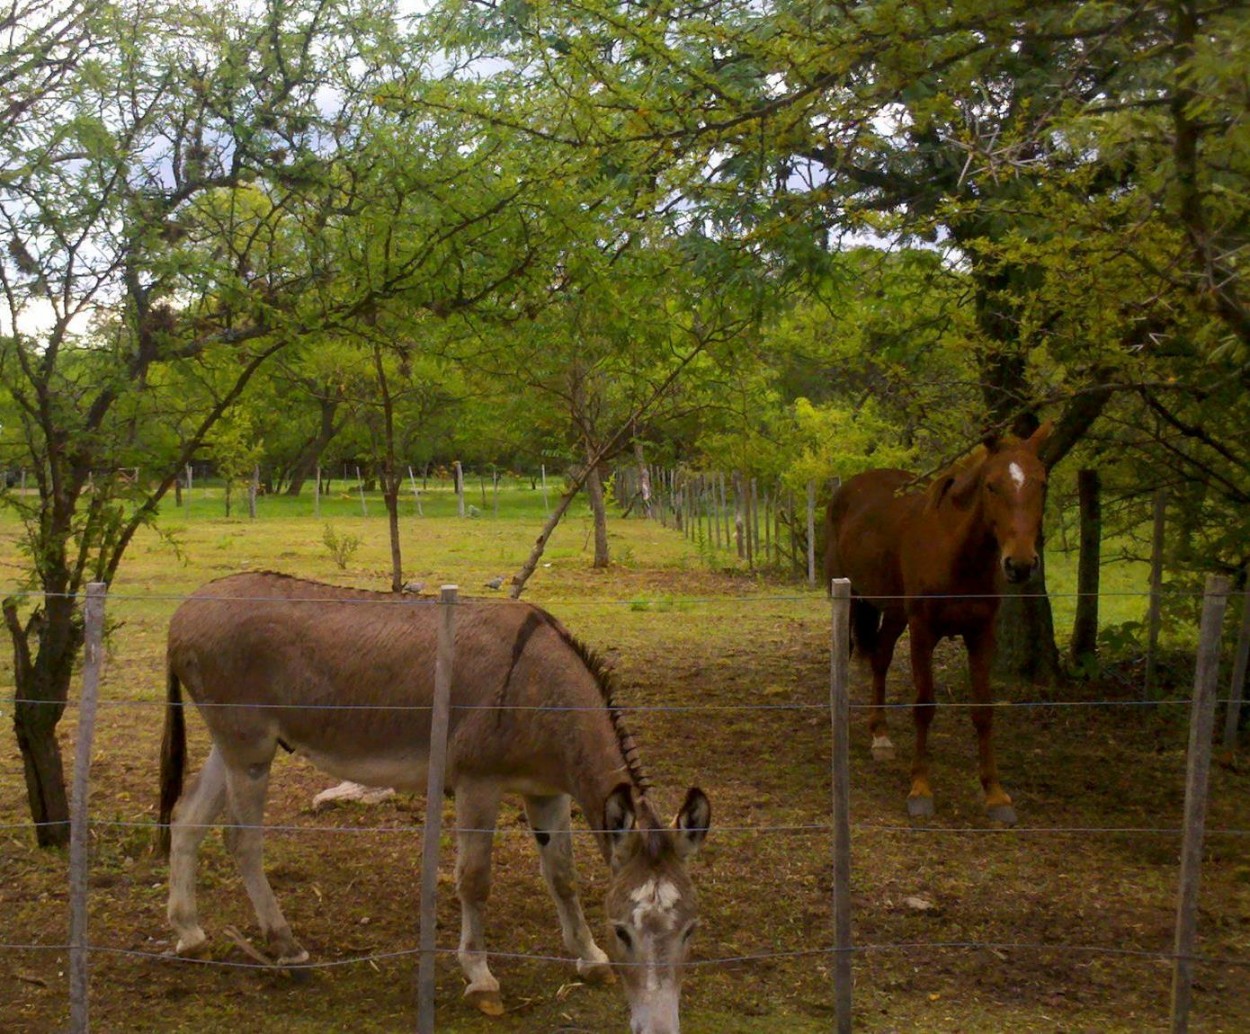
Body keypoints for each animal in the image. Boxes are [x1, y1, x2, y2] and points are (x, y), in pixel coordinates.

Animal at [825, 420, 1050, 825]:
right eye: (992, 485)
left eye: (1042, 484)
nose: (1021, 564)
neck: (955, 551)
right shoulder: (923, 631)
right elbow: (924, 705)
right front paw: (920, 789)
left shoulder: (981, 634)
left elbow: (983, 710)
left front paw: (995, 794)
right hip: (849, 599)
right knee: (850, 655)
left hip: (895, 612)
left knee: (880, 658)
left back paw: (880, 735)